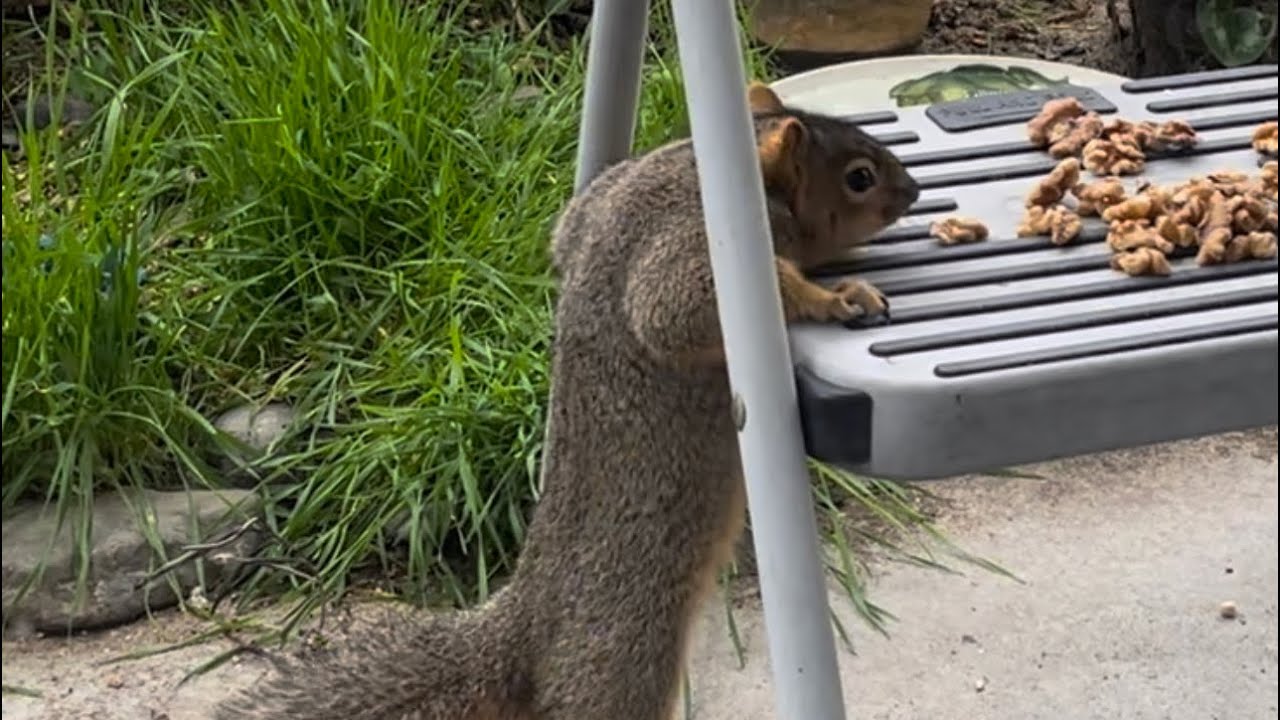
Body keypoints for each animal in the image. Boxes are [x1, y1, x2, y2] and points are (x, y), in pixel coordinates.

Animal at [213, 81, 920, 720]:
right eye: (859, 177)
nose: (912, 192)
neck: (701, 167)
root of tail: (520, 634)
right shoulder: (692, 245)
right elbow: (674, 312)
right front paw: (838, 298)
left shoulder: (599, 203)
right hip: (620, 661)